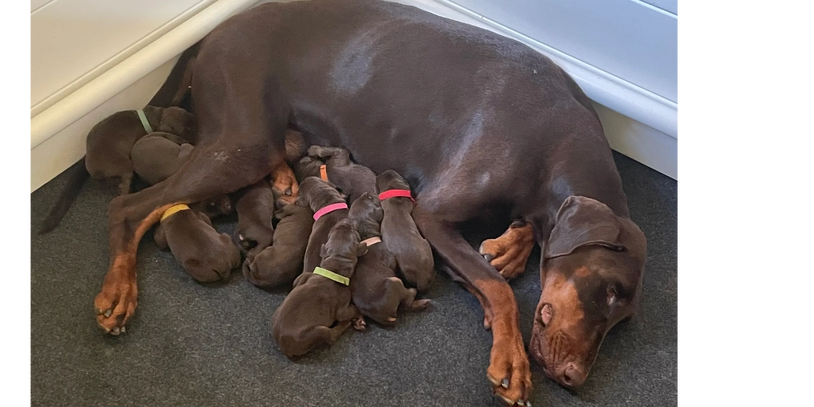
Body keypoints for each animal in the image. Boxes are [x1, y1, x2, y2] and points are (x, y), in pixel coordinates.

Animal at [270, 218, 368, 358]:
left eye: (332, 231)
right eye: (354, 233)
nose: (345, 220)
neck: (333, 270)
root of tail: (283, 346)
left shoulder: (303, 277)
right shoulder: (342, 307)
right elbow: (351, 310)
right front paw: (358, 315)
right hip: (316, 332)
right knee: (331, 335)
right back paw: (344, 324)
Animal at [348, 192, 430, 328]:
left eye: (365, 198)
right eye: (370, 198)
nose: (367, 193)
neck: (367, 238)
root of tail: (384, 317)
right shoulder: (389, 258)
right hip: (394, 282)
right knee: (407, 302)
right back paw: (417, 296)